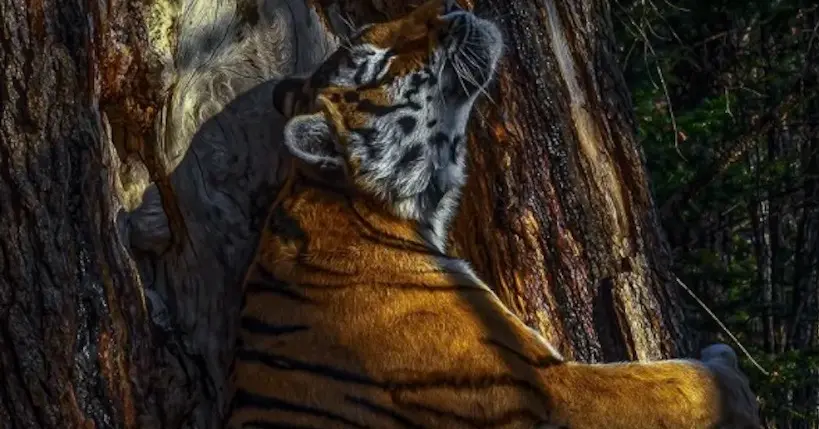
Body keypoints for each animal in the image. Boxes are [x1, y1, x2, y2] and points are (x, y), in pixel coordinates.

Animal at [226, 0, 764, 426]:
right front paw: (731, 377)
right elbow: (666, 385)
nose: (449, 6)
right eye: (377, 63)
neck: (370, 210)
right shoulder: (546, 387)